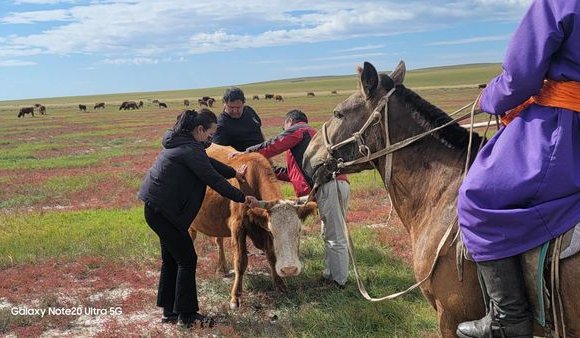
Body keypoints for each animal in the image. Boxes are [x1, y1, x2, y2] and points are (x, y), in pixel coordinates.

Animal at [190, 145, 318, 308]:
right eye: (273, 233)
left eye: (298, 231)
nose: (289, 269)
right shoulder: (237, 226)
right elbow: (240, 261)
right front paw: (235, 297)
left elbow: (271, 257)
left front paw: (280, 285)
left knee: (218, 241)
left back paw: (222, 267)